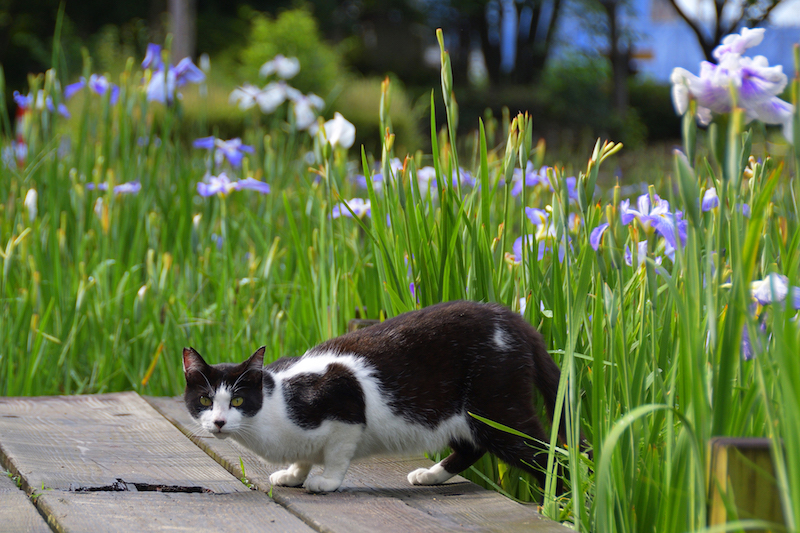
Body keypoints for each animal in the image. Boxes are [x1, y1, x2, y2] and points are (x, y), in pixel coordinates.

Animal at [181, 302, 568, 492]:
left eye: (238, 401)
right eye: (204, 401)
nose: (218, 423)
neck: (280, 406)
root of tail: (514, 319)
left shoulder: (345, 408)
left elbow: (337, 454)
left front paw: (325, 481)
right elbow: (304, 456)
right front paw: (294, 473)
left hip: (496, 405)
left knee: (549, 453)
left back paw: (559, 501)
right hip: (461, 414)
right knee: (471, 447)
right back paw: (430, 476)